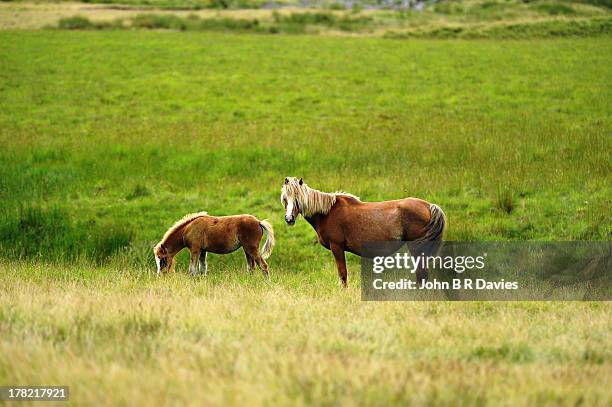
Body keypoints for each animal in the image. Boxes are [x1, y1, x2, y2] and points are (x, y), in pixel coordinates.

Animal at [280, 178, 444, 286]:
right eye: (285, 199)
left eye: (298, 198)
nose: (289, 219)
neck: (327, 212)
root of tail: (429, 206)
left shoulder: (337, 247)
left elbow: (343, 274)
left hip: (417, 248)